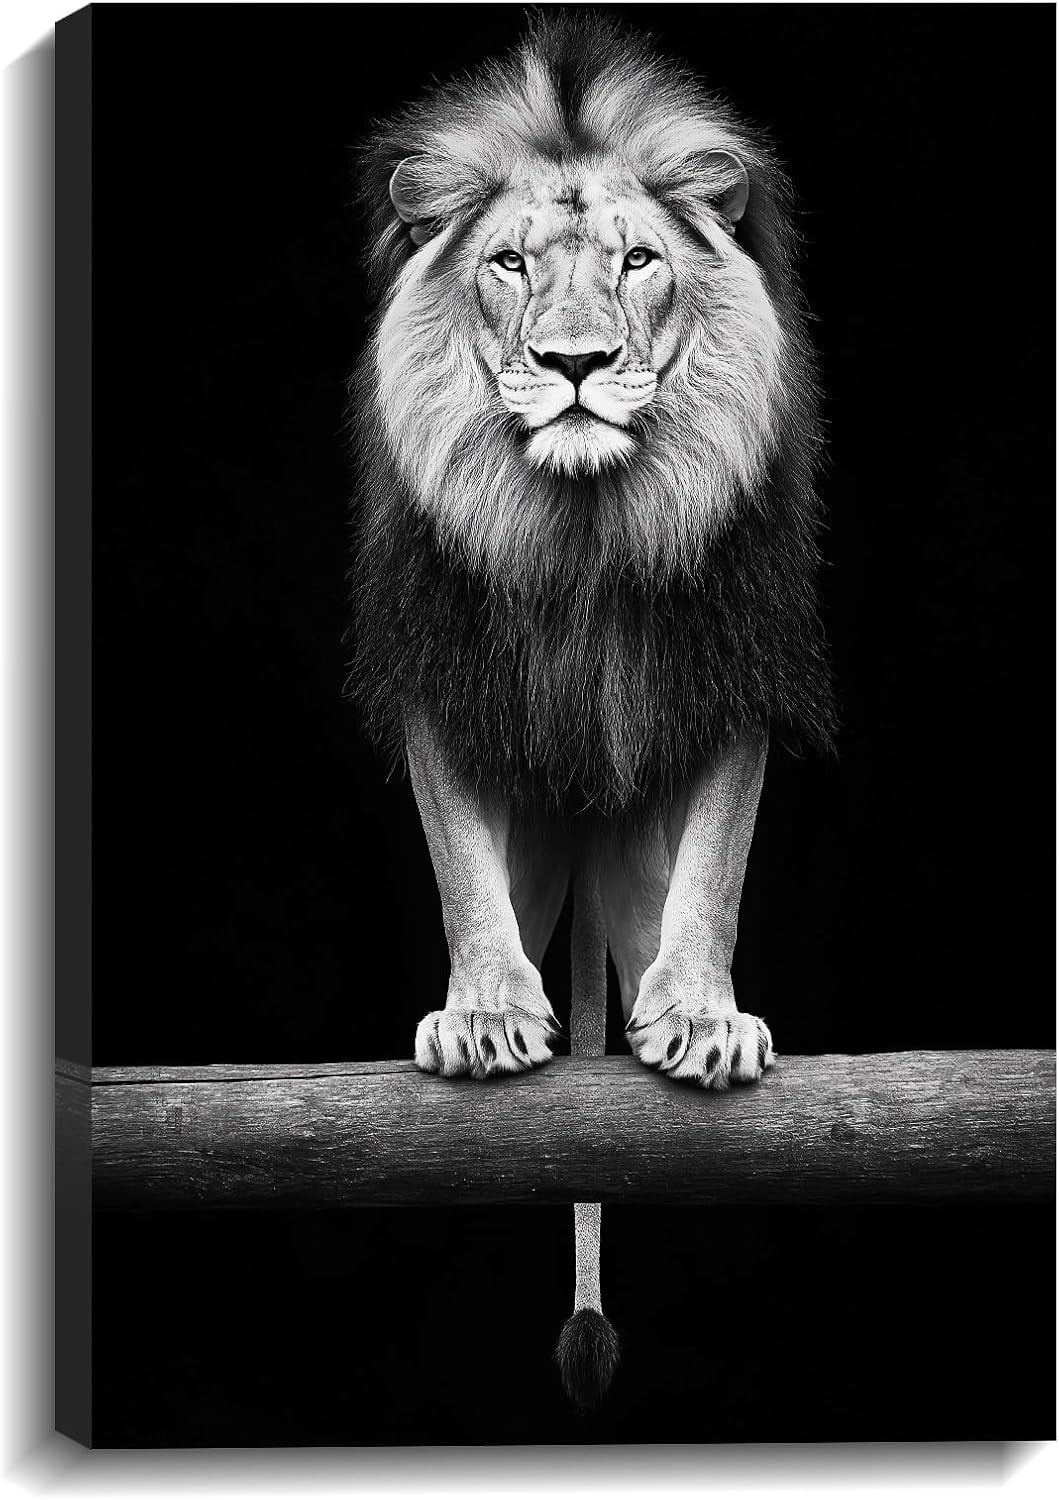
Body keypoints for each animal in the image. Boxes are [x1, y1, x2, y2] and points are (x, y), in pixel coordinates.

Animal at [349, 14, 835, 1406]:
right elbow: (460, 866)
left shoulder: (732, 657)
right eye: (509, 262)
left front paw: (706, 1018)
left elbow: (718, 864)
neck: (582, 528)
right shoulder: (444, 664)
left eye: (638, 260)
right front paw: (485, 1014)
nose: (575, 367)